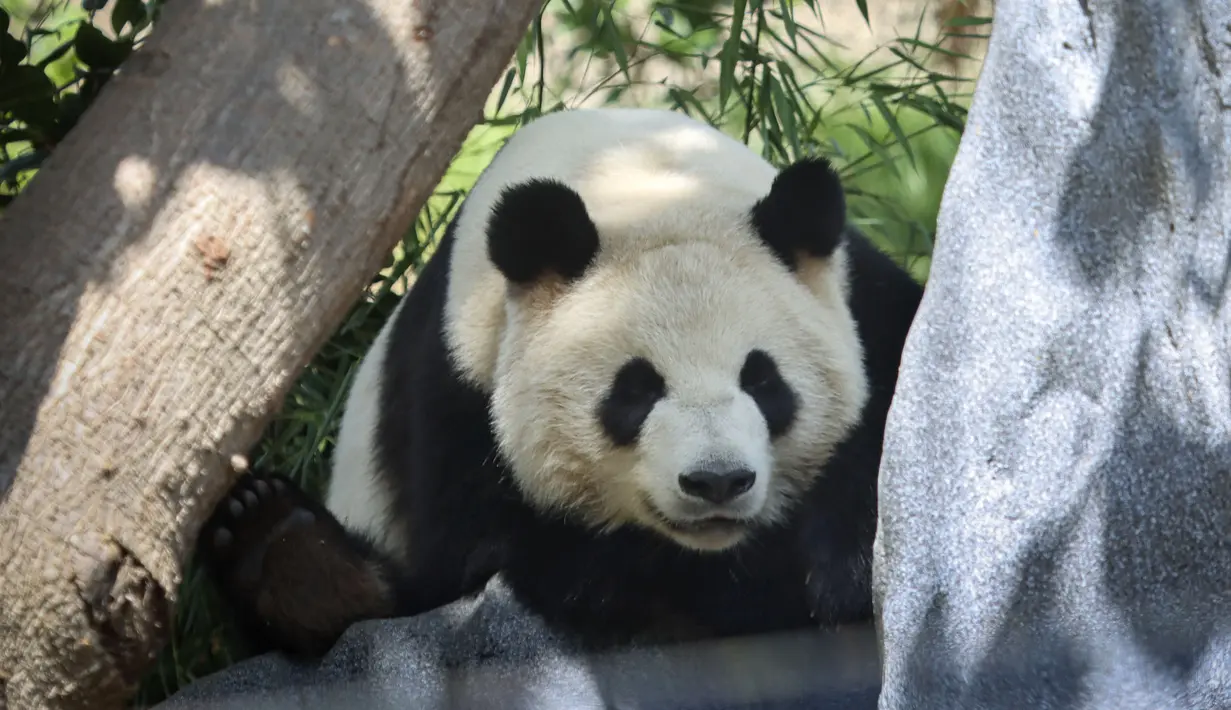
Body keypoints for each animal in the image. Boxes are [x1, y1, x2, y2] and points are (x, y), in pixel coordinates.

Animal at [197, 107, 924, 657]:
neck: (635, 175)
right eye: (634, 390)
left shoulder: (867, 297)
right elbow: (518, 558)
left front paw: (830, 558)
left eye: (763, 381)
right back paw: (286, 549)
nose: (716, 481)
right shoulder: (457, 383)